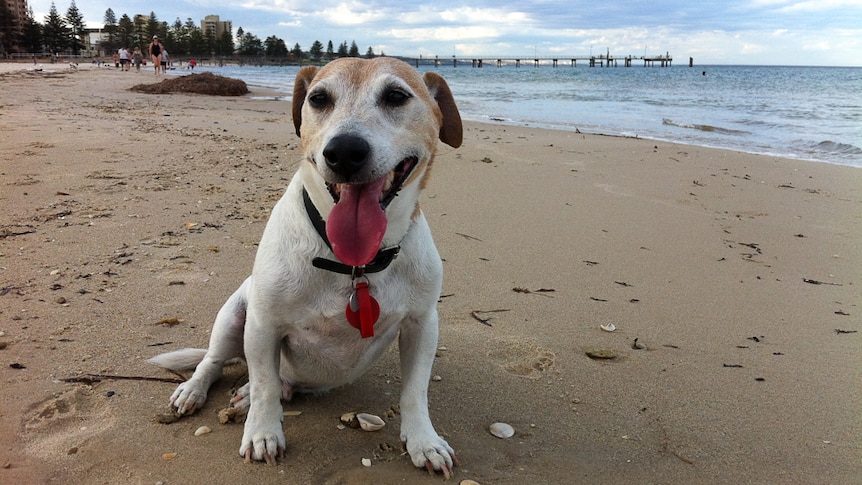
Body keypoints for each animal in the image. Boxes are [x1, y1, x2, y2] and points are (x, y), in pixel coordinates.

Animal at [152, 57, 470, 476]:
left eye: (396, 96)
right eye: (318, 99)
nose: (345, 151)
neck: (355, 264)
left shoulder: (422, 325)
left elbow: (415, 391)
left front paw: (424, 442)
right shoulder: (263, 324)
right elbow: (265, 387)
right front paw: (263, 433)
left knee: (277, 383)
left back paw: (250, 393)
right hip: (234, 314)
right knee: (217, 361)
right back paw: (197, 390)